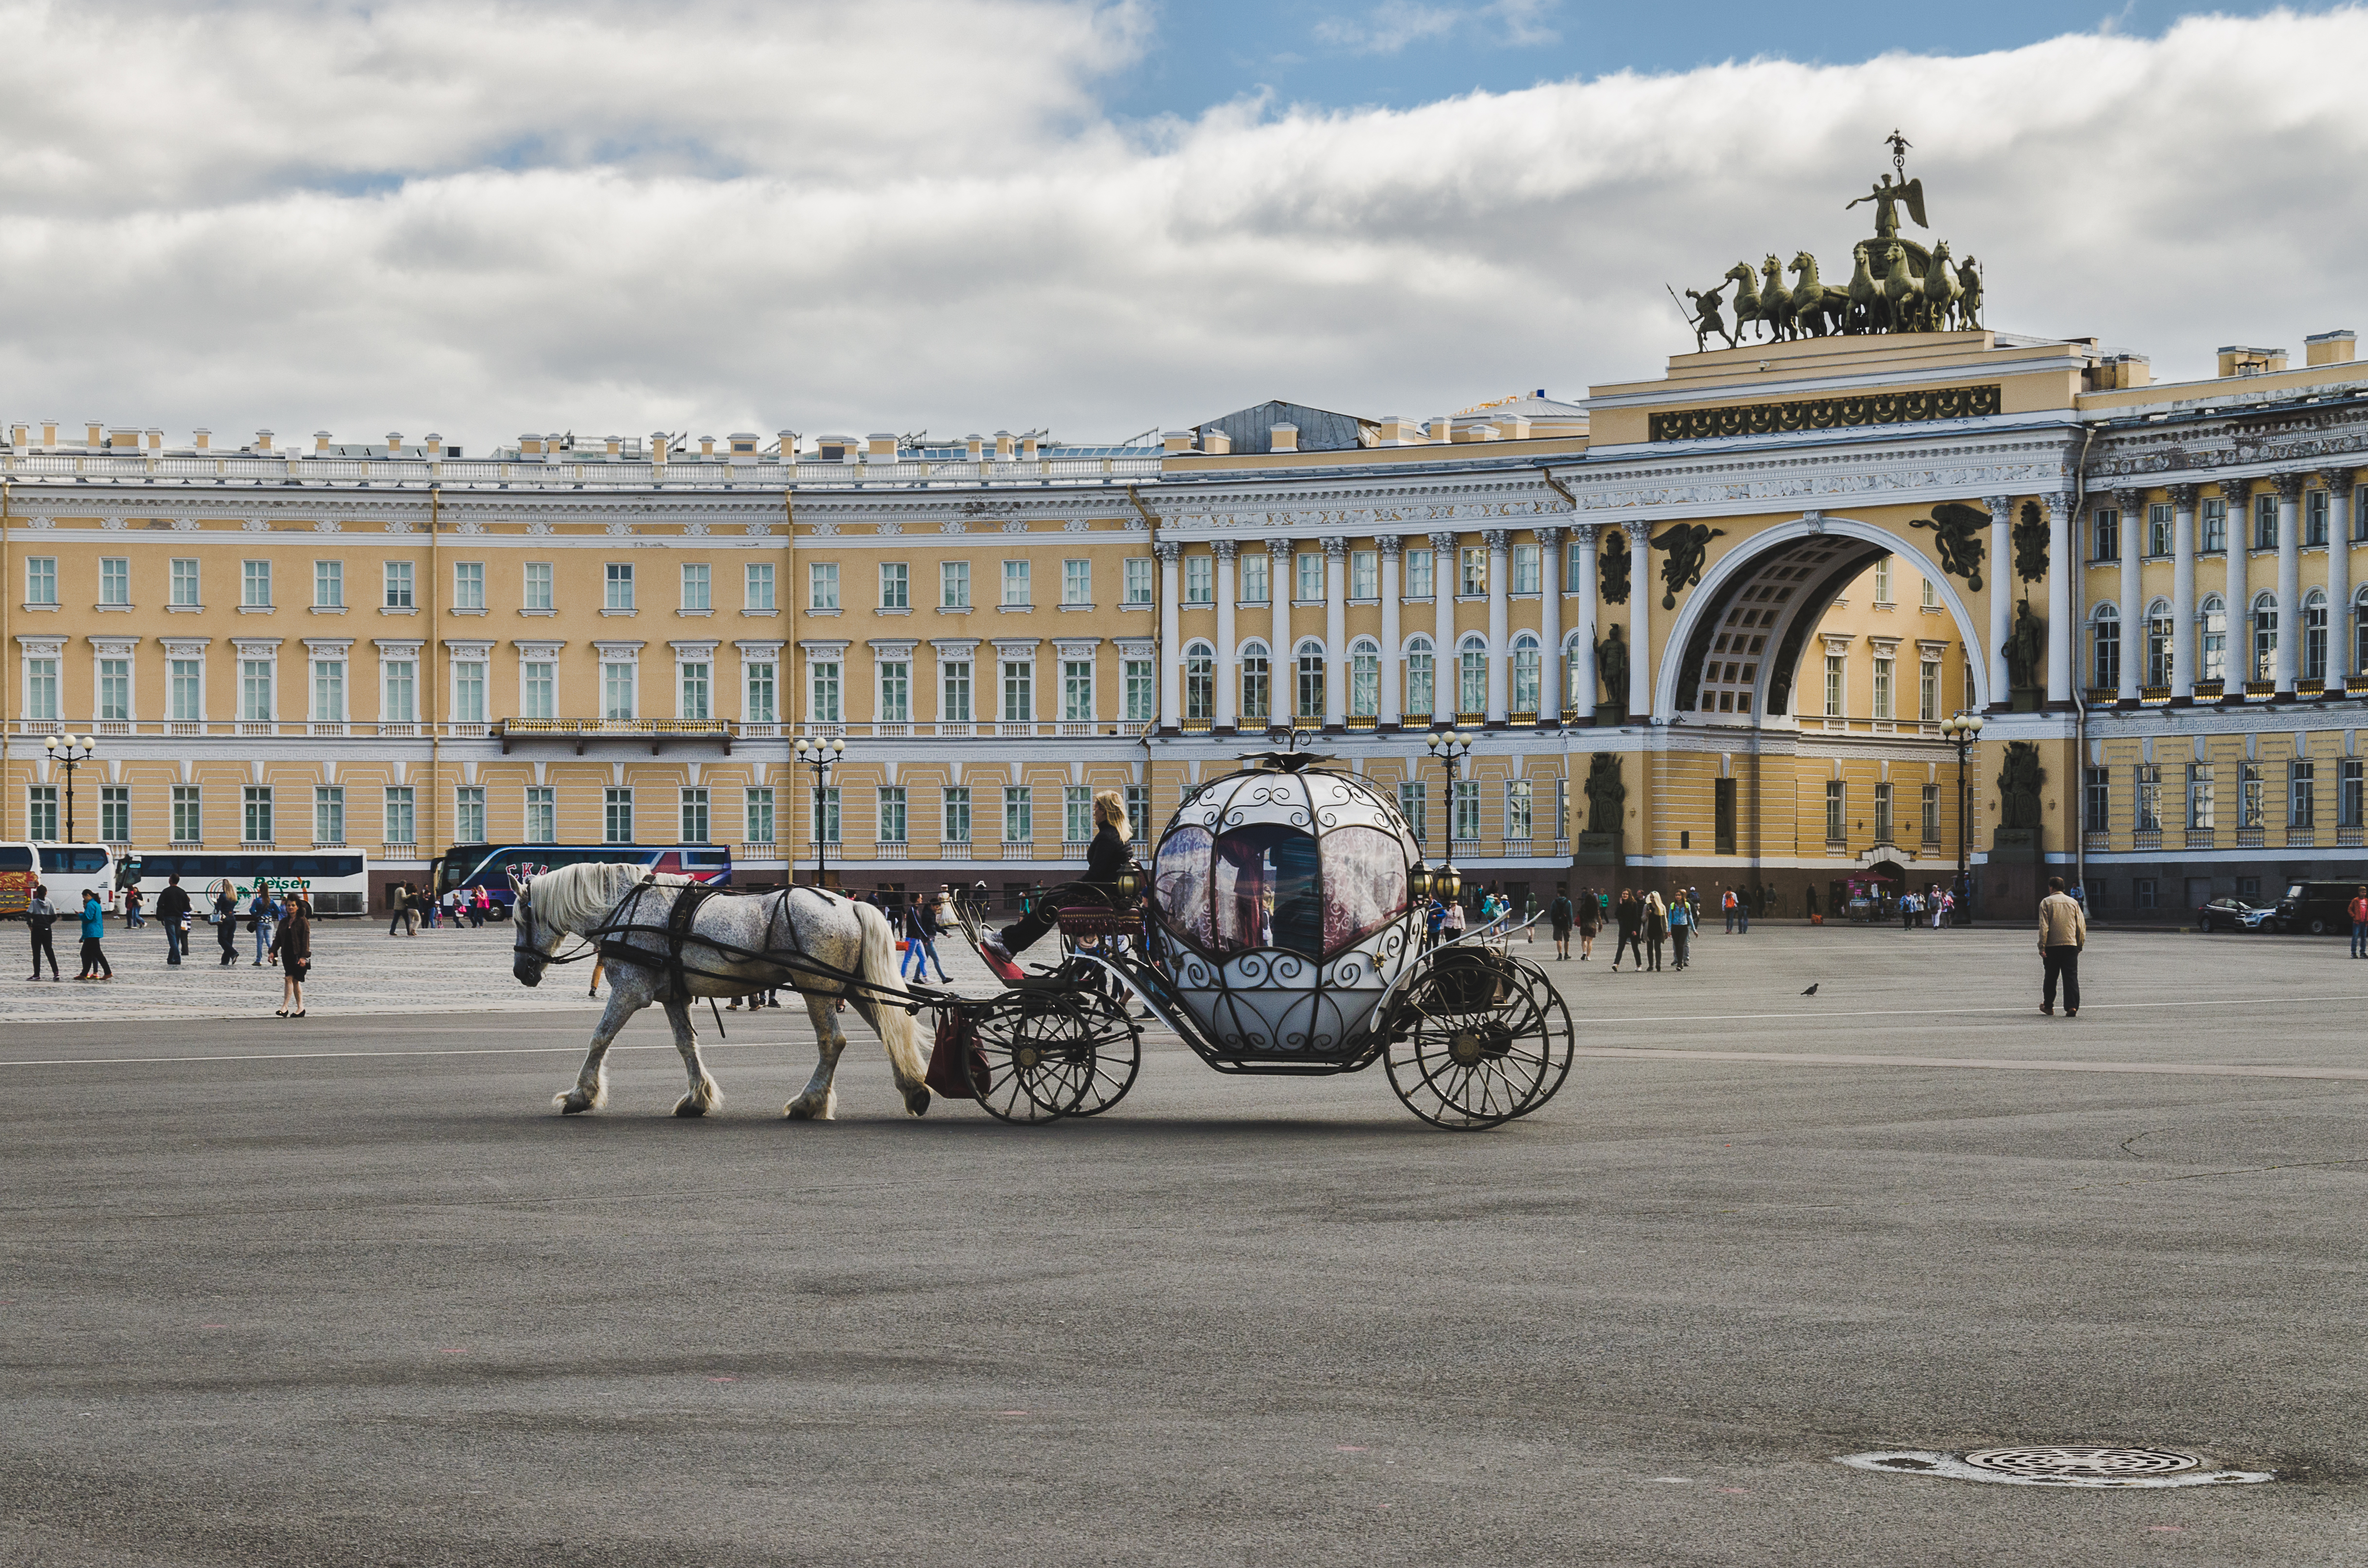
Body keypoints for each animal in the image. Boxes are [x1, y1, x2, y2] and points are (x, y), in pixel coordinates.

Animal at [514, 867, 928, 1122]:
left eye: (520, 919)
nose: (522, 972)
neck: (626, 906)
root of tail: (851, 903)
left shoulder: (630, 991)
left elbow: (599, 1038)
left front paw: (580, 1096)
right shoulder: (673, 996)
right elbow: (686, 1045)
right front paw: (697, 1099)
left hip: (819, 990)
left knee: (833, 1042)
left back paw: (808, 1103)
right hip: (856, 988)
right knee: (889, 1033)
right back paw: (914, 1090)